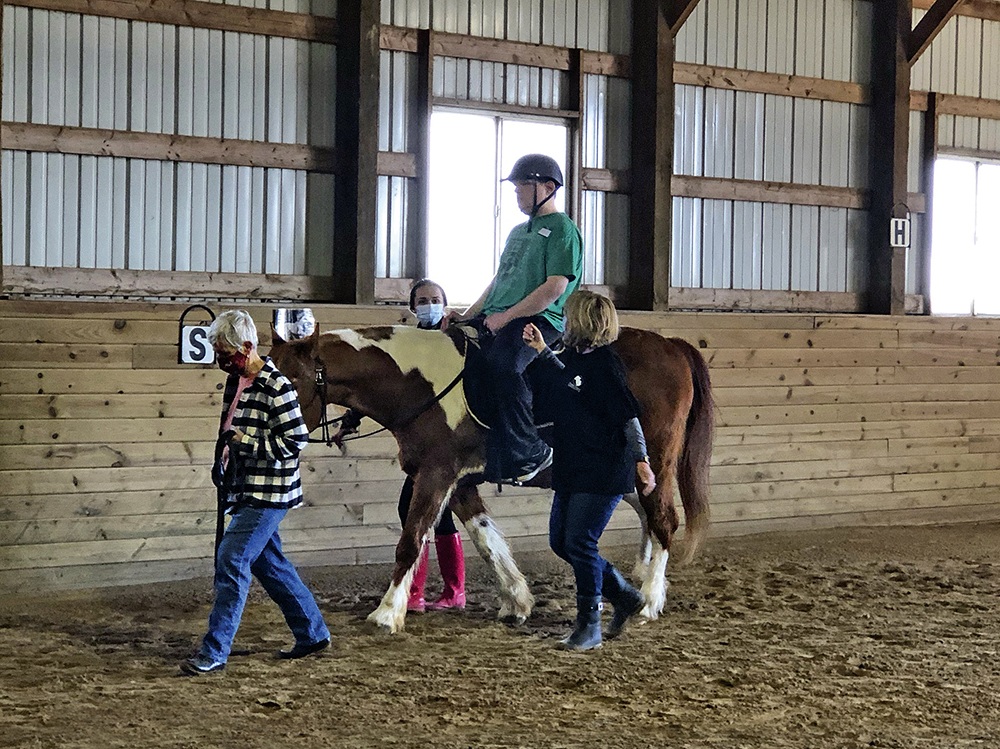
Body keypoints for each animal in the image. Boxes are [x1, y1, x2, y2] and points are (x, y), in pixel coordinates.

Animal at [270, 326, 716, 632]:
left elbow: (411, 539)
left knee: (663, 520)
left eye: (292, 381)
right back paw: (637, 582)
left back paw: (649, 600)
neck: (415, 382)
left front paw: (387, 612)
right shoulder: (459, 483)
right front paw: (517, 602)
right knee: (647, 518)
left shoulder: (437, 472)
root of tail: (671, 345)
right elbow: (485, 539)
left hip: (653, 464)